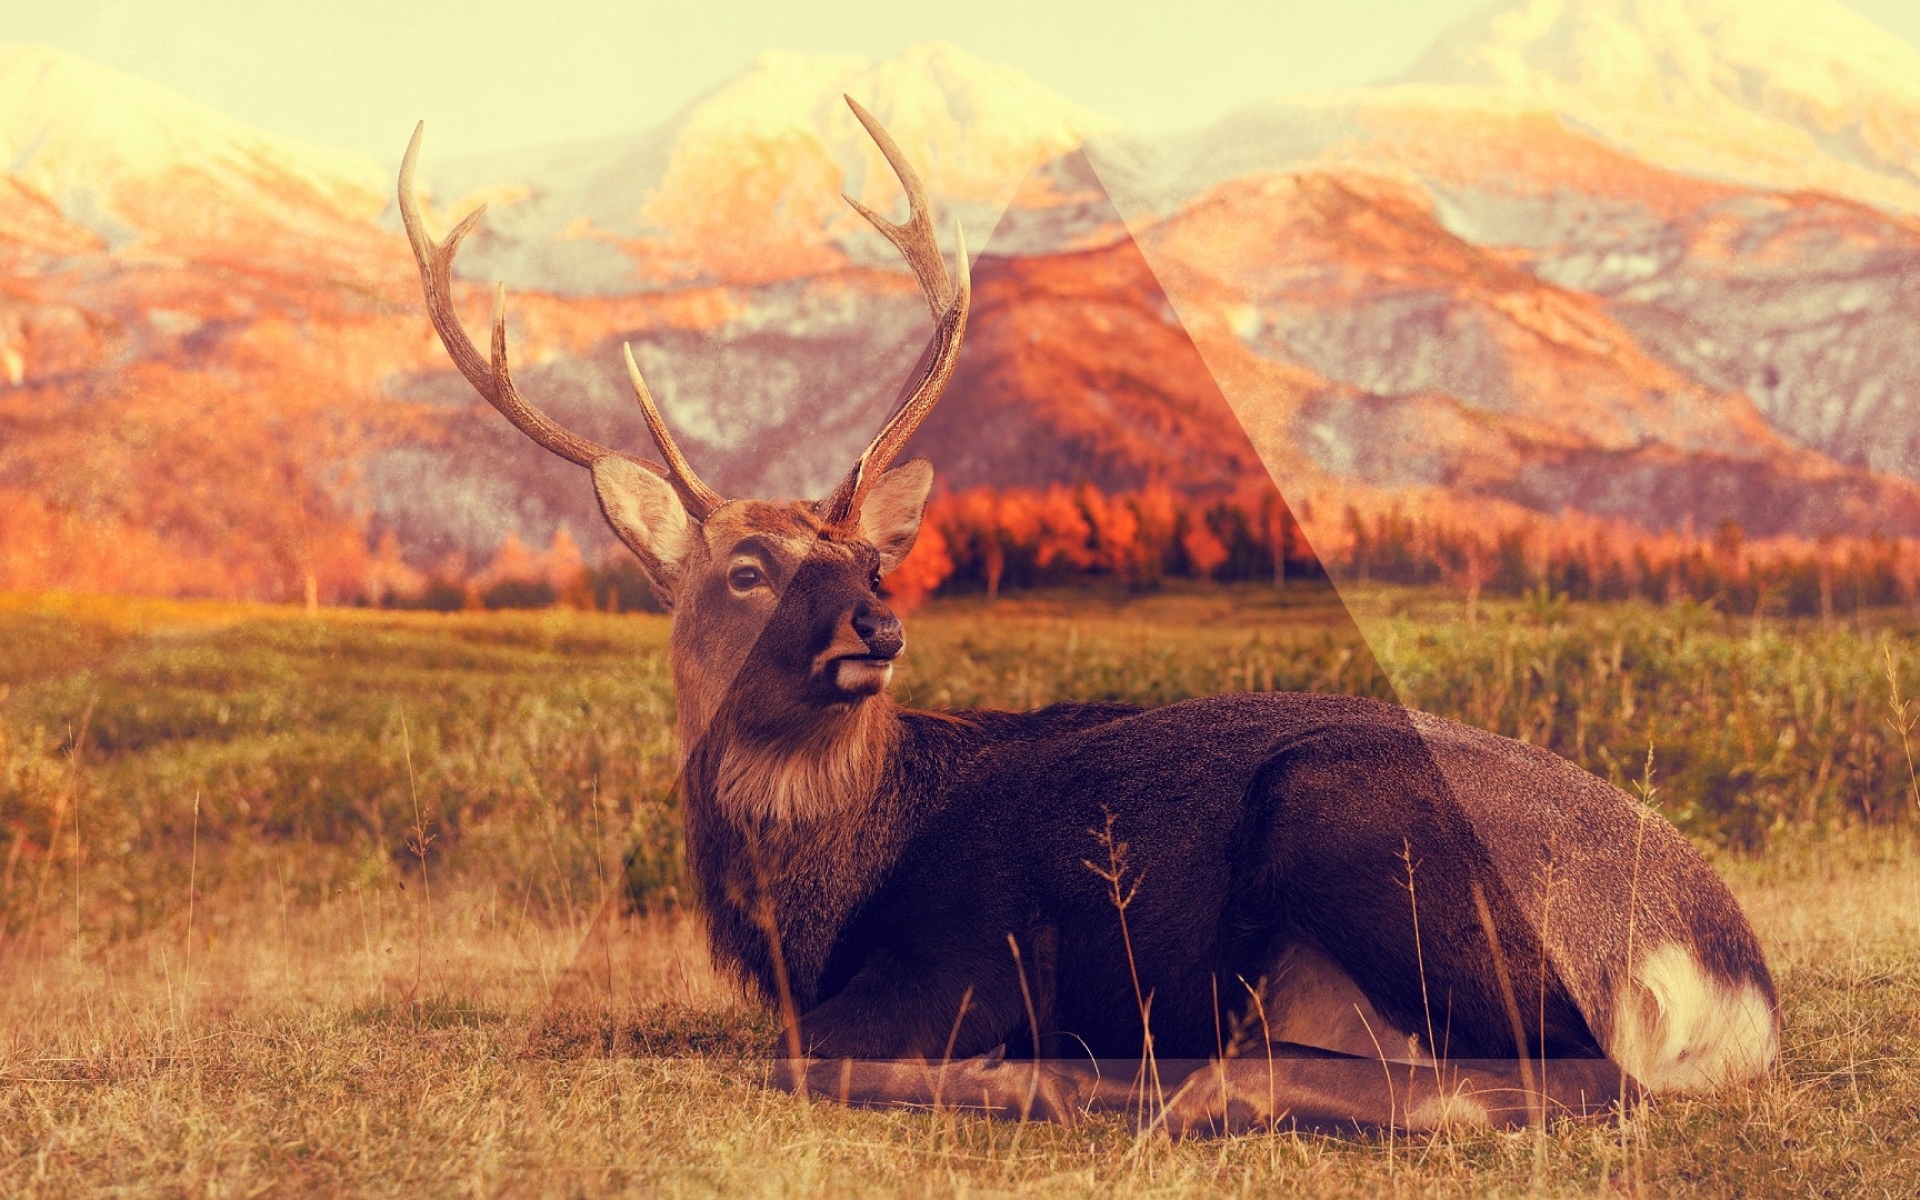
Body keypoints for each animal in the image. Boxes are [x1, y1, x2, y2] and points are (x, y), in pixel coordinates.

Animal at [397, 98, 1779, 1136]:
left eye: (867, 557)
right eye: (745, 569)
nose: (876, 630)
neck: (816, 903)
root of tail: (1730, 979)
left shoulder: (964, 953)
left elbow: (800, 1056)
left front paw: (1004, 1073)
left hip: (1361, 817)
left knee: (1571, 1078)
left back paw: (1137, 1085)